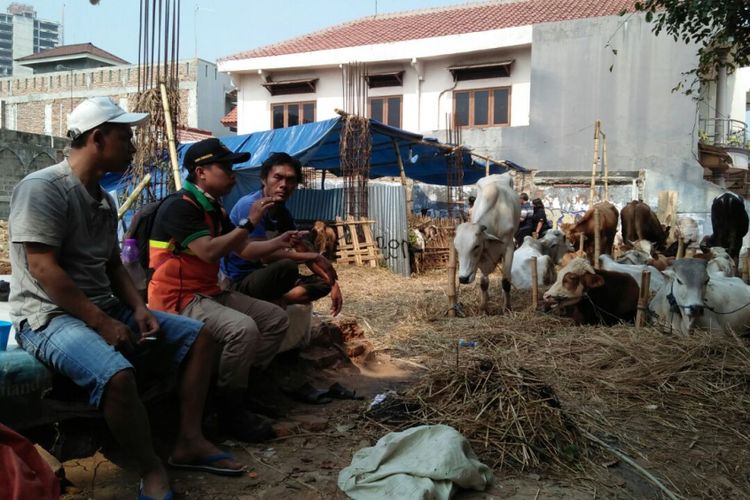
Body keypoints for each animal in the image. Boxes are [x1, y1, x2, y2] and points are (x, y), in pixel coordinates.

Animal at [456, 175, 520, 312]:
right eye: (457, 249)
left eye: (476, 246)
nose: (463, 278)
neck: (496, 215)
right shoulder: (482, 257)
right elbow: (484, 283)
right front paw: (483, 307)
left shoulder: (509, 249)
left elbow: (506, 281)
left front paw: (507, 307)